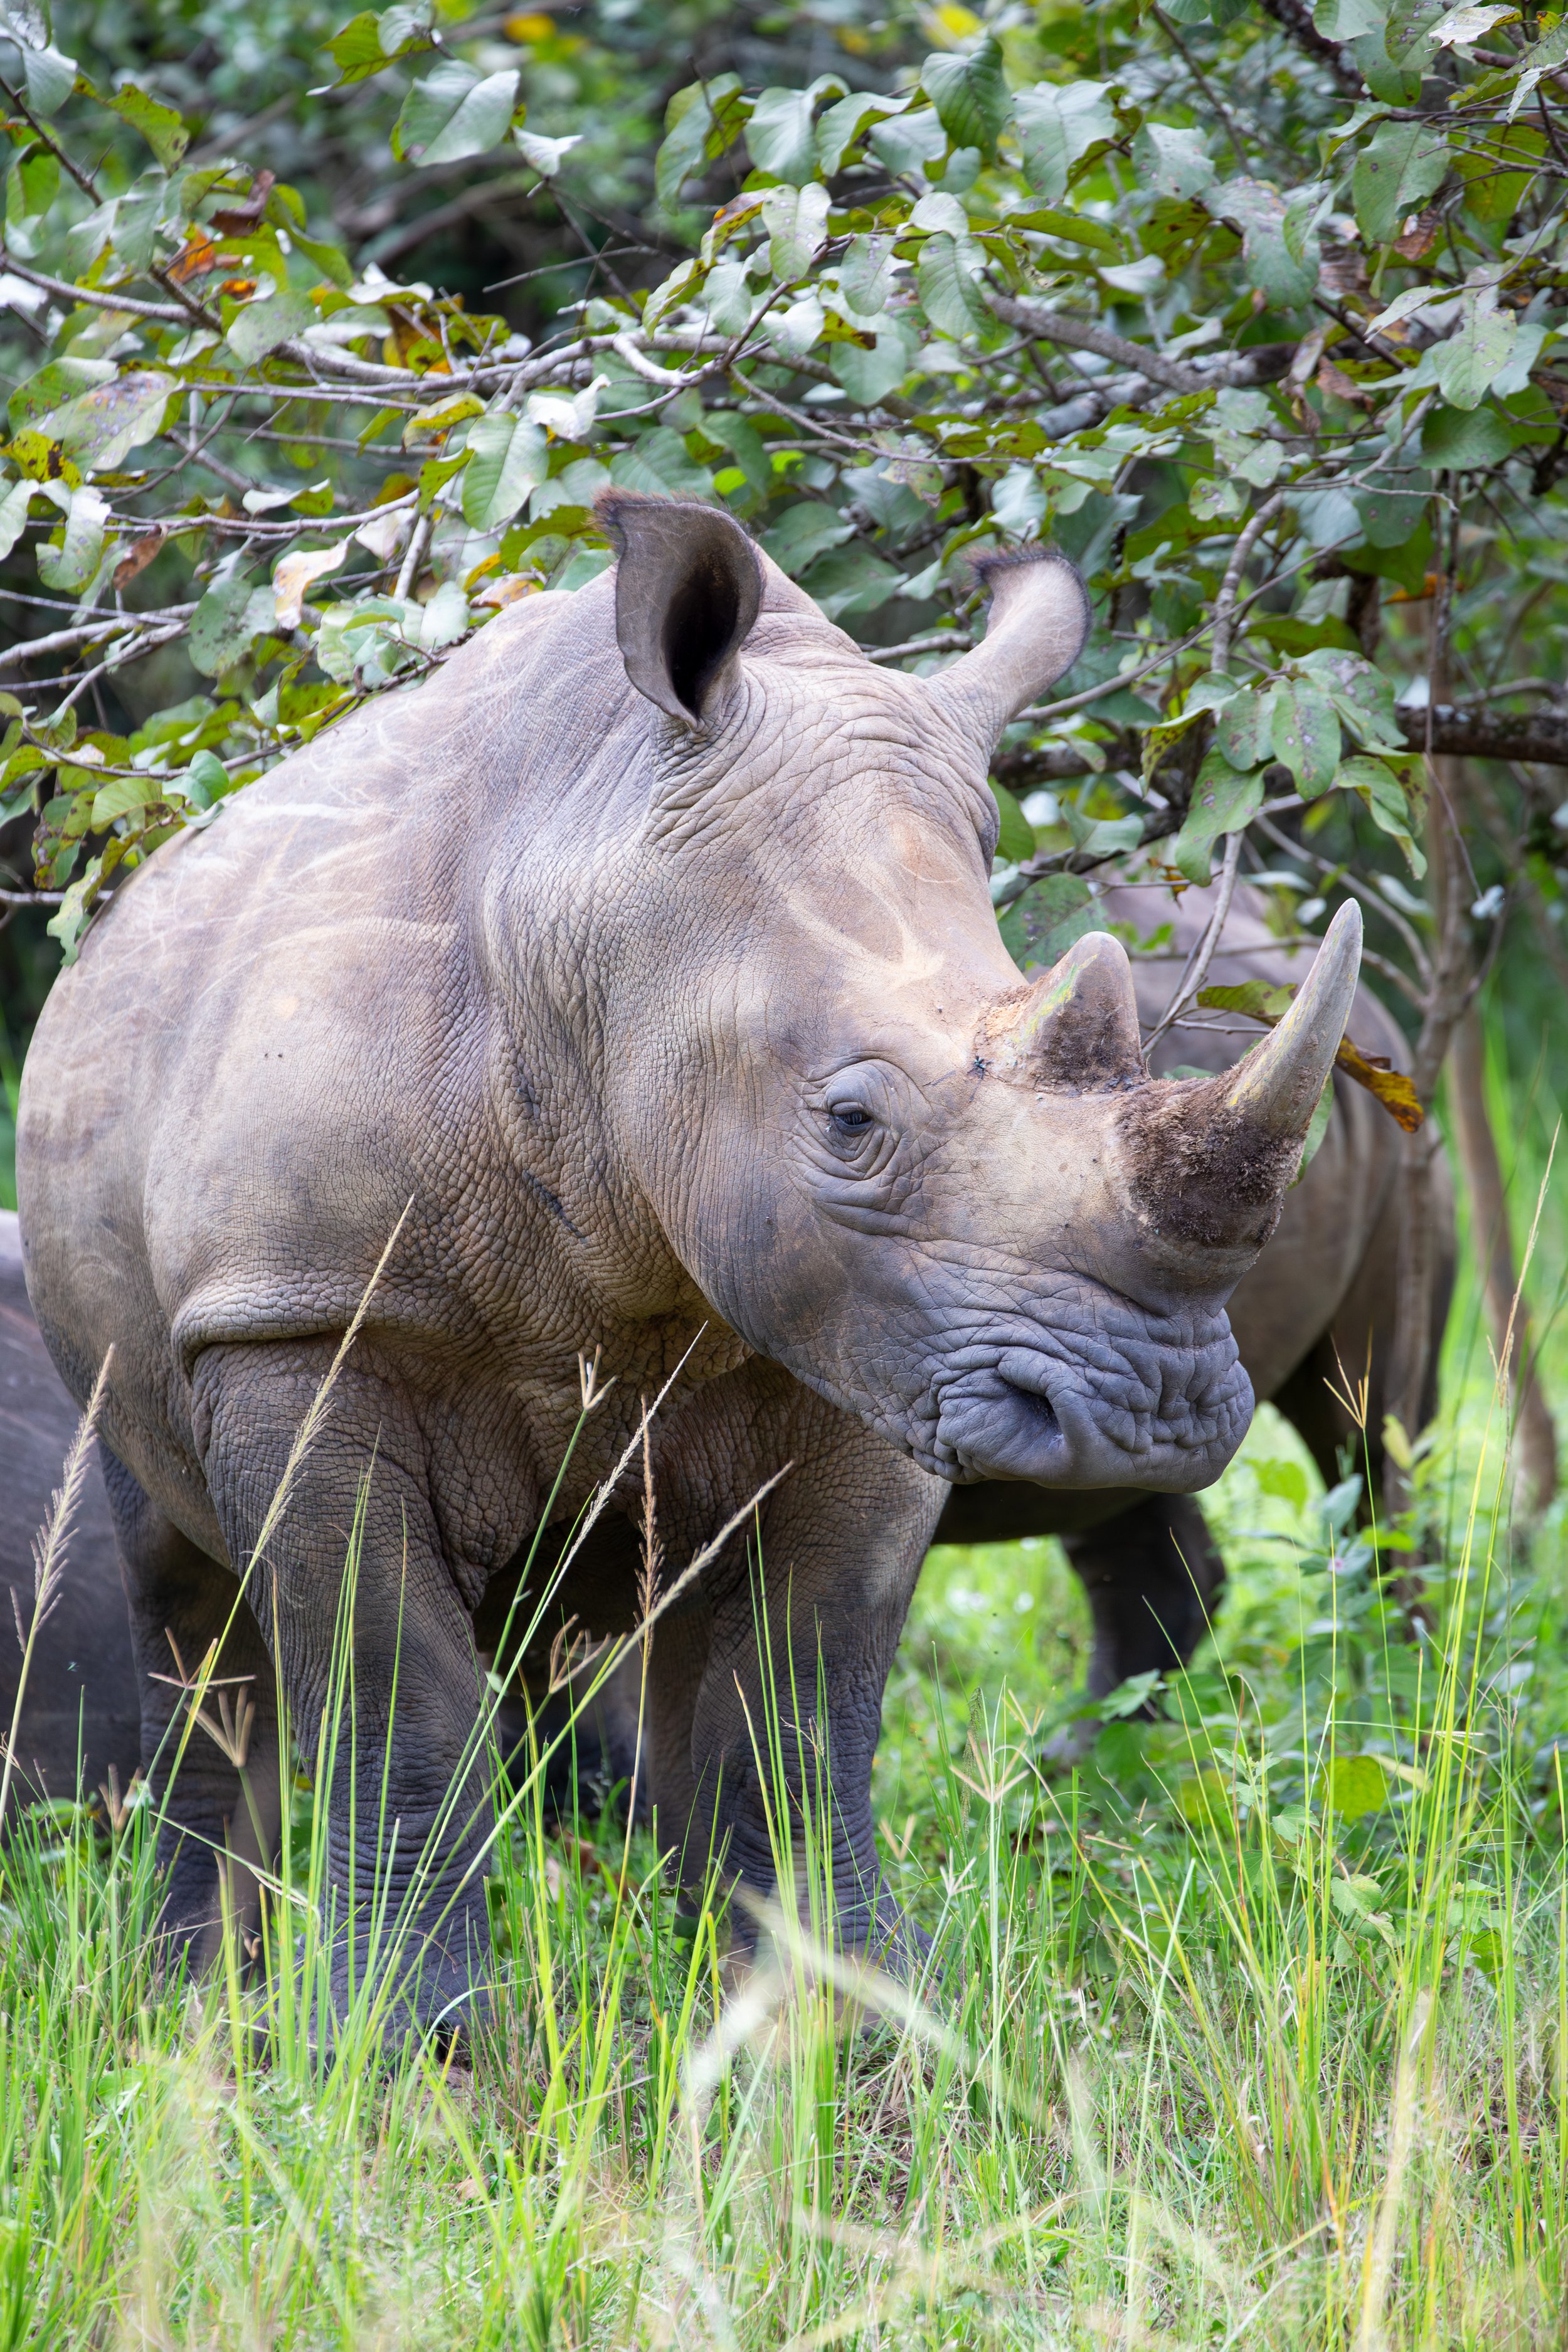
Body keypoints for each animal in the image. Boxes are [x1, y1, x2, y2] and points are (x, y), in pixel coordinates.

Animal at [17, 492, 1366, 2029]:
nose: (1150, 1416)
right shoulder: (297, 1316)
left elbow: (799, 1710)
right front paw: (407, 2047)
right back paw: (188, 1998)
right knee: (188, 1605)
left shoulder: (875, 1346)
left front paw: (853, 2022)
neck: (592, 908)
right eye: (849, 1123)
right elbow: (390, 1695)